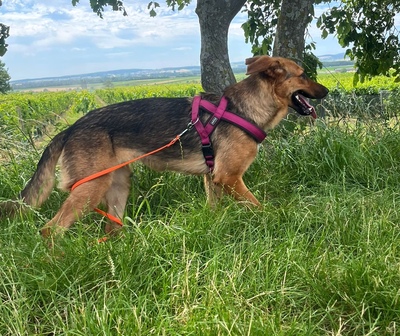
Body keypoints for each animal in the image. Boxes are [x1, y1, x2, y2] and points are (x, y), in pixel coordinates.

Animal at [0, 55, 328, 238]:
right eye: (302, 74)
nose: (326, 91)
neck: (245, 109)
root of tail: (69, 128)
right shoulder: (229, 177)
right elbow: (258, 207)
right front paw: (273, 220)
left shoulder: (213, 179)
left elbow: (215, 212)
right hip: (90, 187)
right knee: (51, 229)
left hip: (117, 186)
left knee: (111, 227)